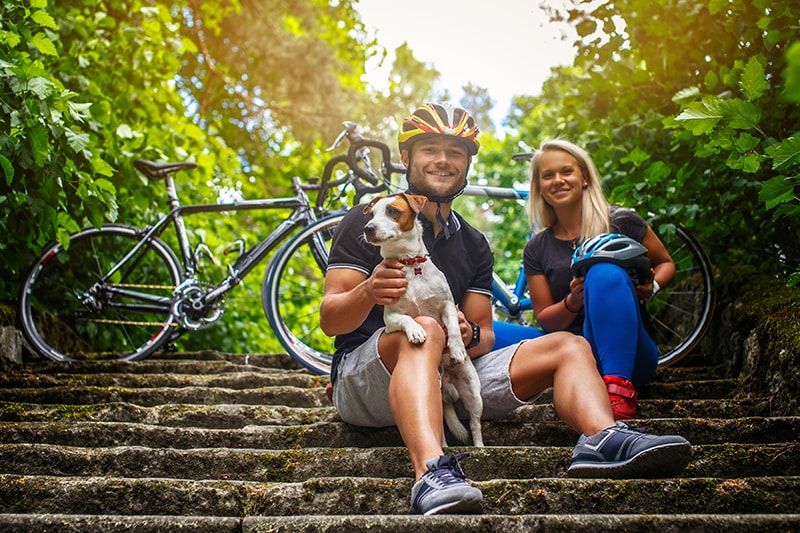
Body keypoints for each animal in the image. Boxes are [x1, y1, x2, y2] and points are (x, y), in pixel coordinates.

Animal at [366, 193, 484, 446]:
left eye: (392, 211)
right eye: (371, 214)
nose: (367, 228)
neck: (409, 263)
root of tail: (447, 383)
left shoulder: (447, 305)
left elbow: (454, 327)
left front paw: (457, 349)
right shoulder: (391, 319)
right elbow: (407, 319)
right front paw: (417, 331)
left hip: (473, 393)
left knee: (475, 423)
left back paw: (480, 447)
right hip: (435, 395)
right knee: (438, 427)